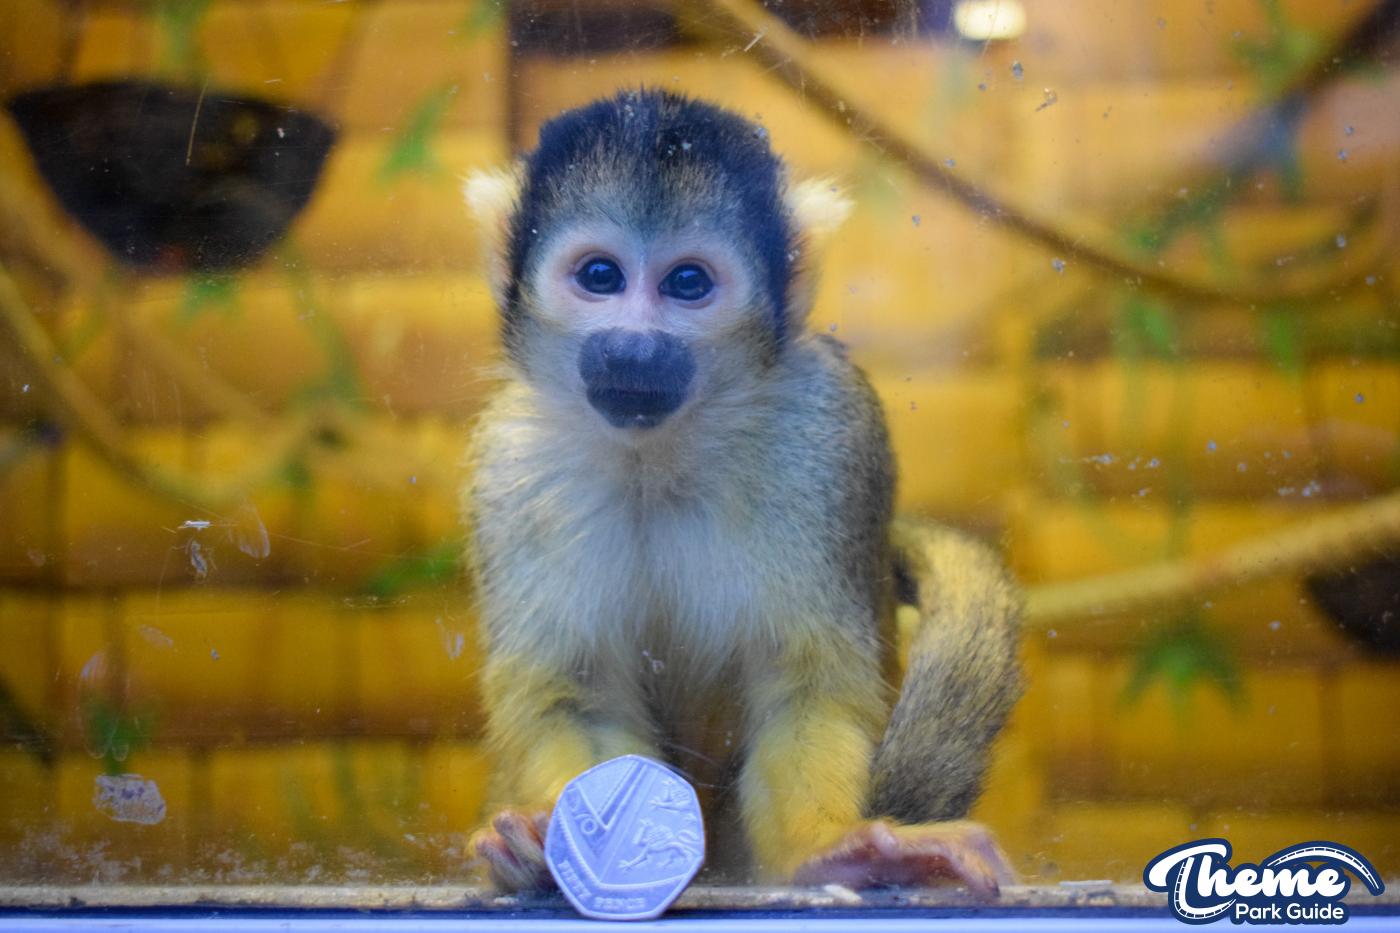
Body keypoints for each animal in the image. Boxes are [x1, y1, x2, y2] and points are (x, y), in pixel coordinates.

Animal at [460, 89, 1022, 895]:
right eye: (600, 275)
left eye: (688, 283)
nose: (633, 348)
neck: (659, 456)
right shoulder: (510, 468)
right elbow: (578, 694)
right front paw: (548, 847)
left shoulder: (827, 434)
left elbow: (802, 682)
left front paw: (833, 849)